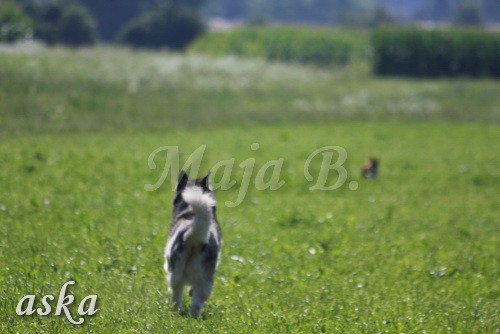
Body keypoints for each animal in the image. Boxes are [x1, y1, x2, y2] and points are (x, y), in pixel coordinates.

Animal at [164, 171, 221, 318]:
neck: (190, 212)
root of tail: (194, 237)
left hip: (175, 274)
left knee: (177, 297)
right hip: (204, 282)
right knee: (196, 304)